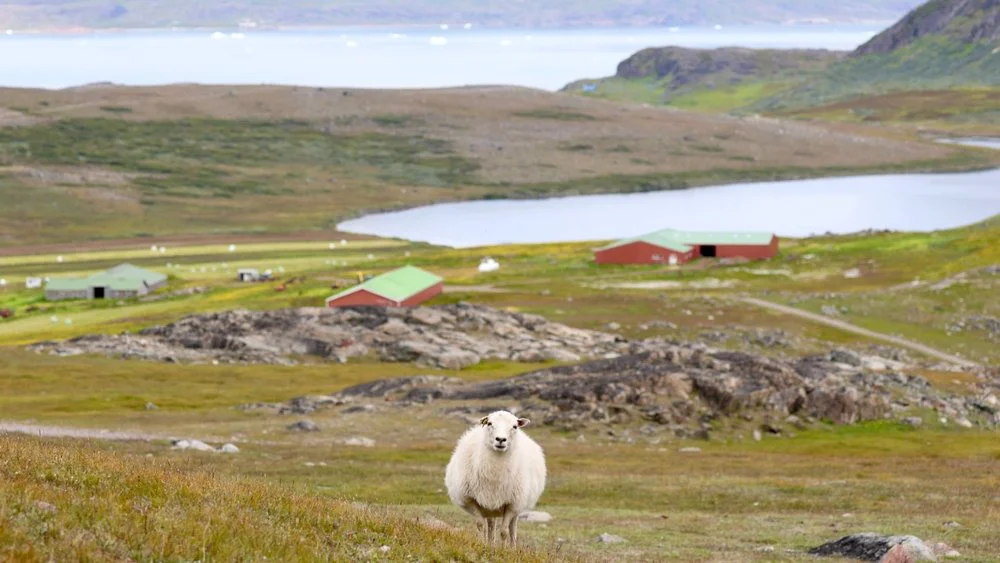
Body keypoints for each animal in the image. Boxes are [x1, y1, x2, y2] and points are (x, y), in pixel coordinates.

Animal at [444, 410, 548, 548]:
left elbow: (504, 531)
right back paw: (490, 544)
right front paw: (481, 544)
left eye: (515, 426)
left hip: (518, 505)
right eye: (489, 423)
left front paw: (503, 549)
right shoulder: (470, 500)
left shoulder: (512, 504)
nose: (500, 439)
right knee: (491, 525)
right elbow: (480, 525)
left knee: (512, 527)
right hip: (489, 506)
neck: (495, 473)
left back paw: (512, 547)